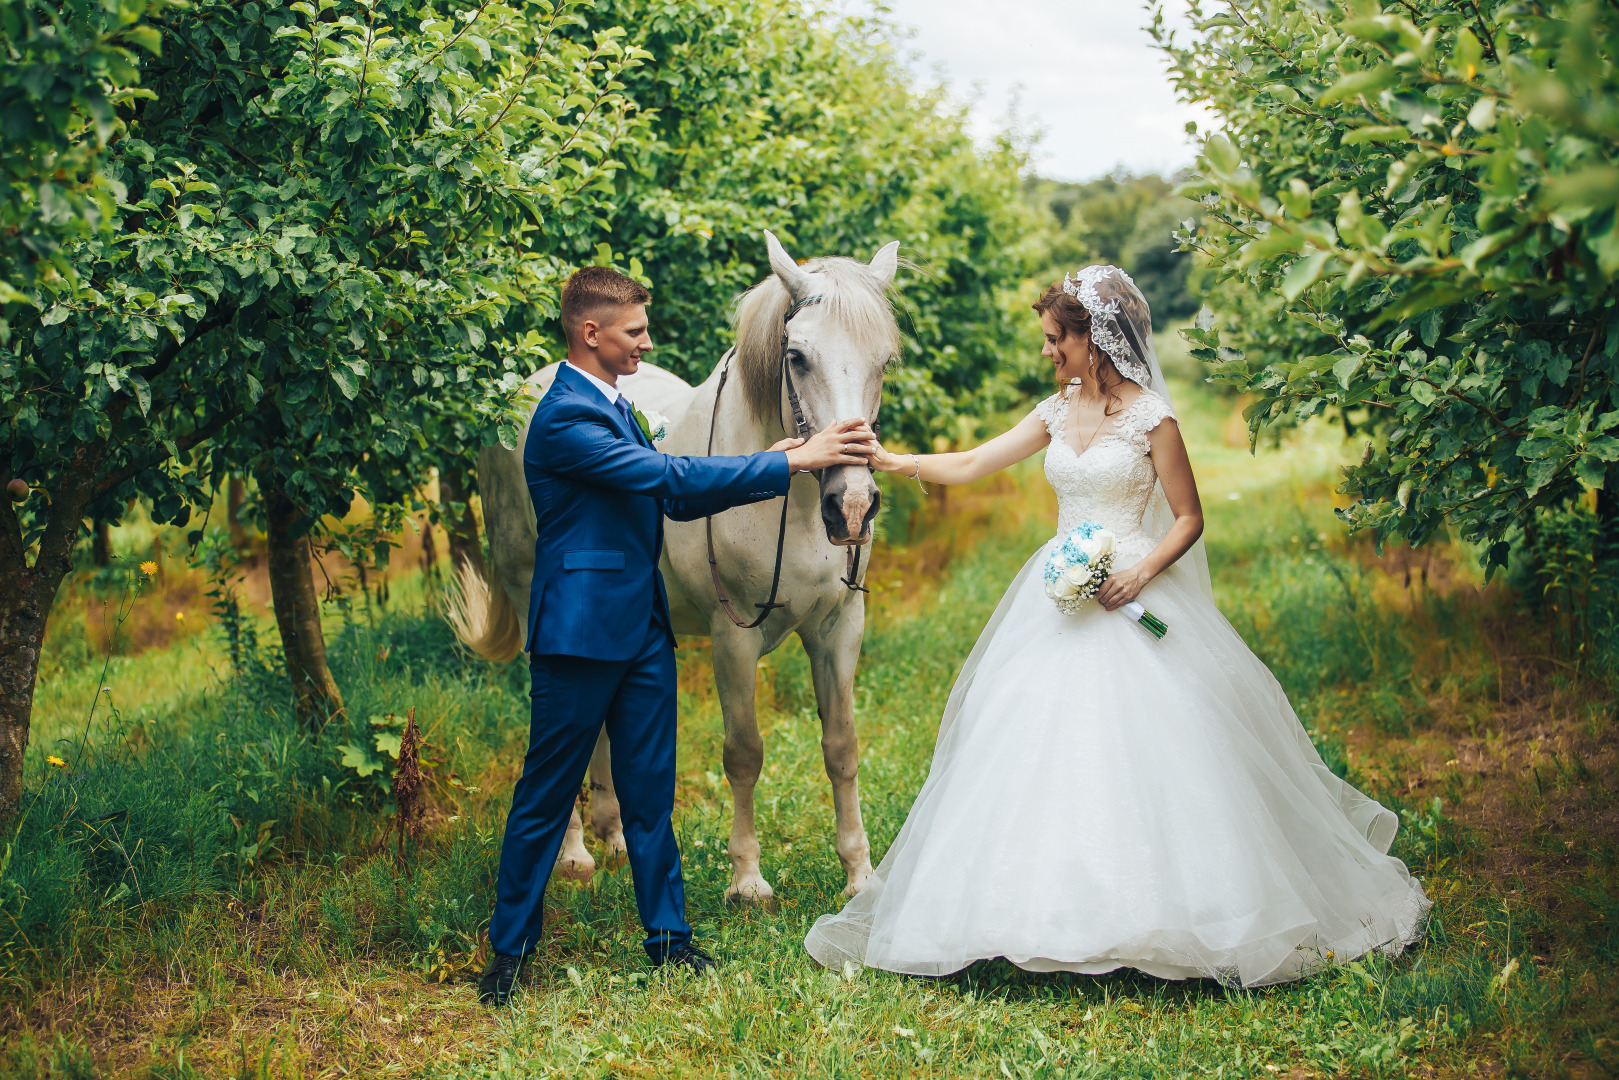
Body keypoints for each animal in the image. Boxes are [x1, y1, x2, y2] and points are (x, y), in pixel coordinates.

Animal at [446, 234, 900, 906]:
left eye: (884, 362)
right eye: (796, 357)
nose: (851, 506)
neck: (789, 508)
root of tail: (520, 391)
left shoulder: (840, 627)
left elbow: (842, 747)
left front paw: (859, 878)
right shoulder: (732, 638)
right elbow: (744, 753)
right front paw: (747, 881)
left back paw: (614, 837)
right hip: (535, 605)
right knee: (560, 734)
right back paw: (575, 855)